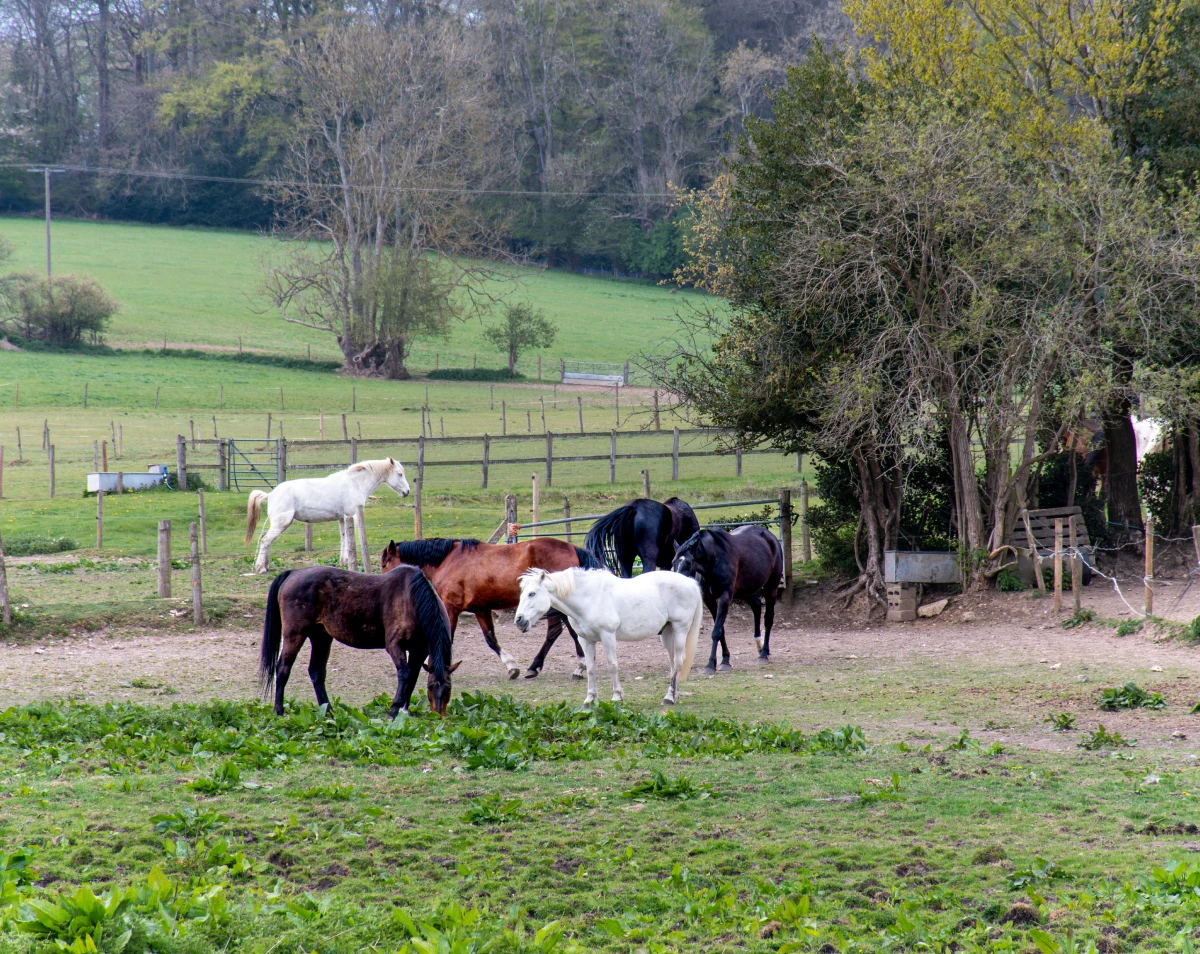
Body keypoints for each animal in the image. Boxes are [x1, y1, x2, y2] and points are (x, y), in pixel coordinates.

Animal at [246, 458, 410, 574]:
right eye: (400, 474)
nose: (407, 492)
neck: (354, 484)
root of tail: (270, 494)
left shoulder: (343, 519)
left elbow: (344, 538)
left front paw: (344, 562)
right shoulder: (353, 516)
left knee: (266, 542)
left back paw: (266, 566)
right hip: (281, 523)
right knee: (265, 541)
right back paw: (261, 568)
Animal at [259, 564, 458, 718]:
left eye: (448, 688)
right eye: (431, 686)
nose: (438, 715)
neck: (412, 600)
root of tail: (293, 572)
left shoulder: (419, 650)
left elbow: (413, 678)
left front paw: (404, 711)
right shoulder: (395, 646)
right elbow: (405, 674)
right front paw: (393, 710)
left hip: (321, 637)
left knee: (316, 672)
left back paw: (329, 711)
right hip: (295, 635)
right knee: (283, 668)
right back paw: (279, 710)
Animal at [380, 537, 607, 679]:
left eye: (384, 564)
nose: (383, 583)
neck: (447, 561)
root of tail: (572, 548)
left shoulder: (451, 608)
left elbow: (448, 637)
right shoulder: (481, 610)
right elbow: (491, 639)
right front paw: (512, 667)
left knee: (569, 632)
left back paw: (578, 668)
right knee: (556, 632)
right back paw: (535, 667)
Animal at [515, 568, 703, 705]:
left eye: (532, 593)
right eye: (521, 594)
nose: (519, 620)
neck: (589, 599)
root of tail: (690, 582)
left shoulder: (608, 636)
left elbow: (612, 665)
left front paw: (617, 696)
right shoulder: (585, 640)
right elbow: (590, 668)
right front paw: (590, 699)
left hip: (680, 629)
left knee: (678, 661)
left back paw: (669, 698)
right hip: (668, 633)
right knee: (673, 663)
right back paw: (674, 694)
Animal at [672, 526, 783, 671]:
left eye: (689, 563)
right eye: (673, 562)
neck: (714, 559)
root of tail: (771, 538)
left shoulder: (724, 598)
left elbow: (716, 631)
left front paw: (711, 664)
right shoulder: (710, 601)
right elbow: (721, 631)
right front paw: (725, 660)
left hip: (771, 588)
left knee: (768, 618)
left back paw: (764, 653)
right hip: (746, 590)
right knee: (757, 605)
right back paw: (759, 645)